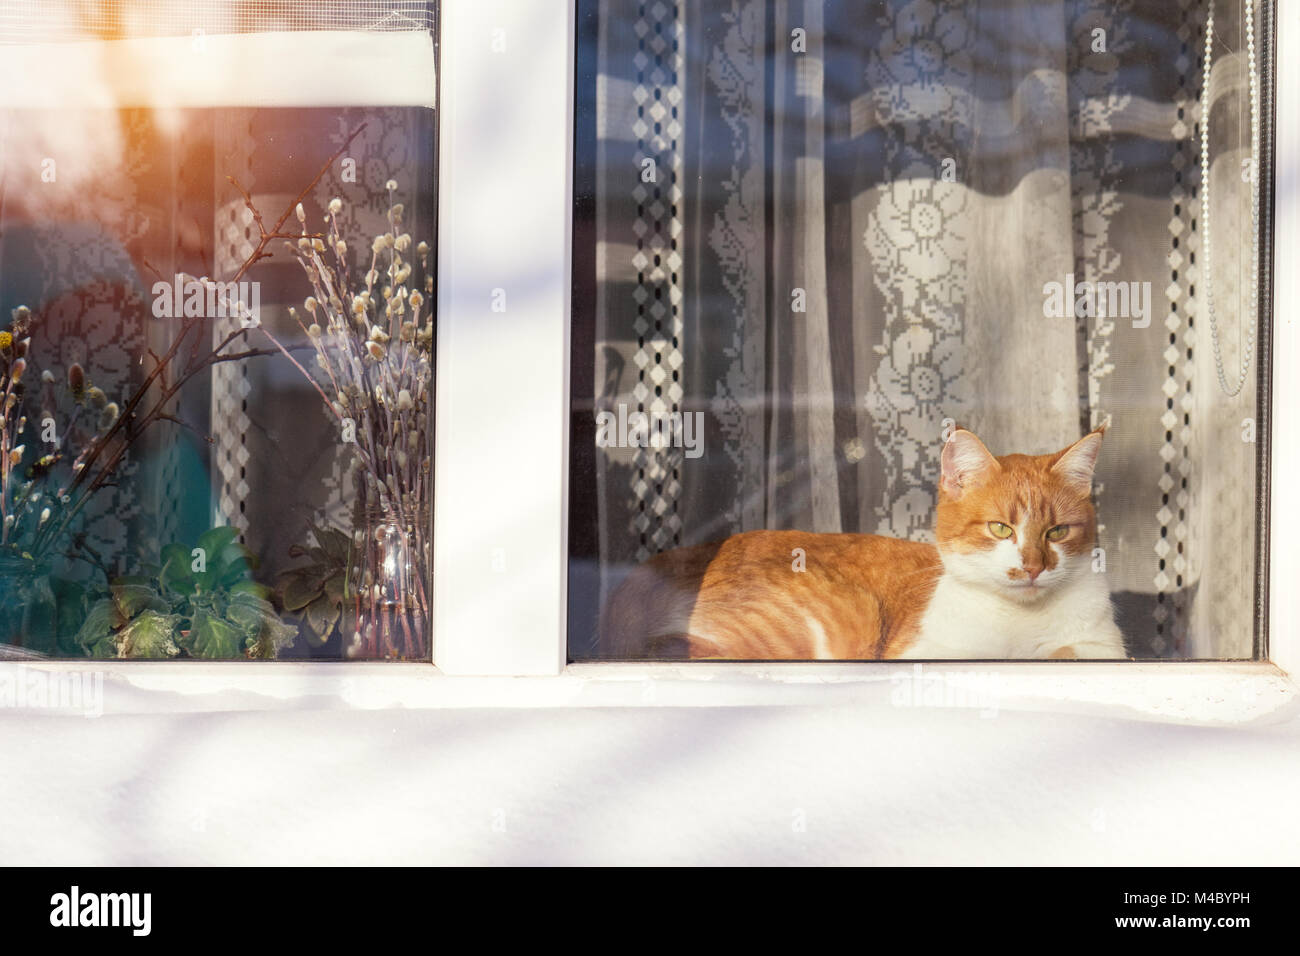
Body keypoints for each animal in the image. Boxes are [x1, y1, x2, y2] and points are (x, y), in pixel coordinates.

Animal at [598, 424, 1128, 658]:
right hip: (844, 615)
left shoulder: (1101, 647)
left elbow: (1069, 651)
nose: (1034, 566)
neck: (1017, 623)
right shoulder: (919, 653)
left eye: (1056, 532)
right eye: (1001, 528)